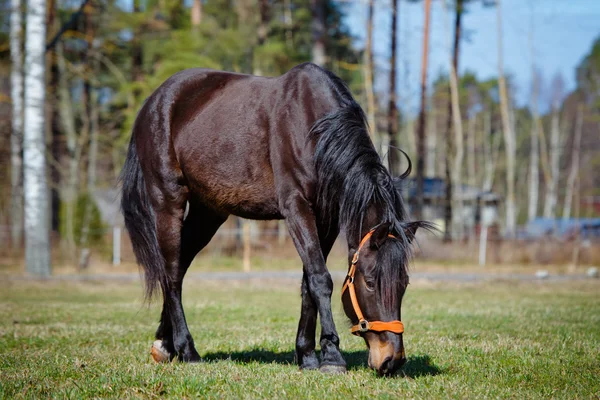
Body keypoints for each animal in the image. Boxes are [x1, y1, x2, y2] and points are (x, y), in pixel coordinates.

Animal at [120, 61, 432, 376]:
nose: (392, 360)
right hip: (167, 200)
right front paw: (332, 357)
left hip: (208, 211)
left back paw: (164, 344)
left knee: (180, 266)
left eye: (404, 283)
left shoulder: (327, 220)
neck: (315, 131)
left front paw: (307, 356)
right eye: (369, 282)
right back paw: (187, 350)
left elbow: (308, 283)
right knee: (171, 272)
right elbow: (321, 279)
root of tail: (154, 102)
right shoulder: (296, 208)